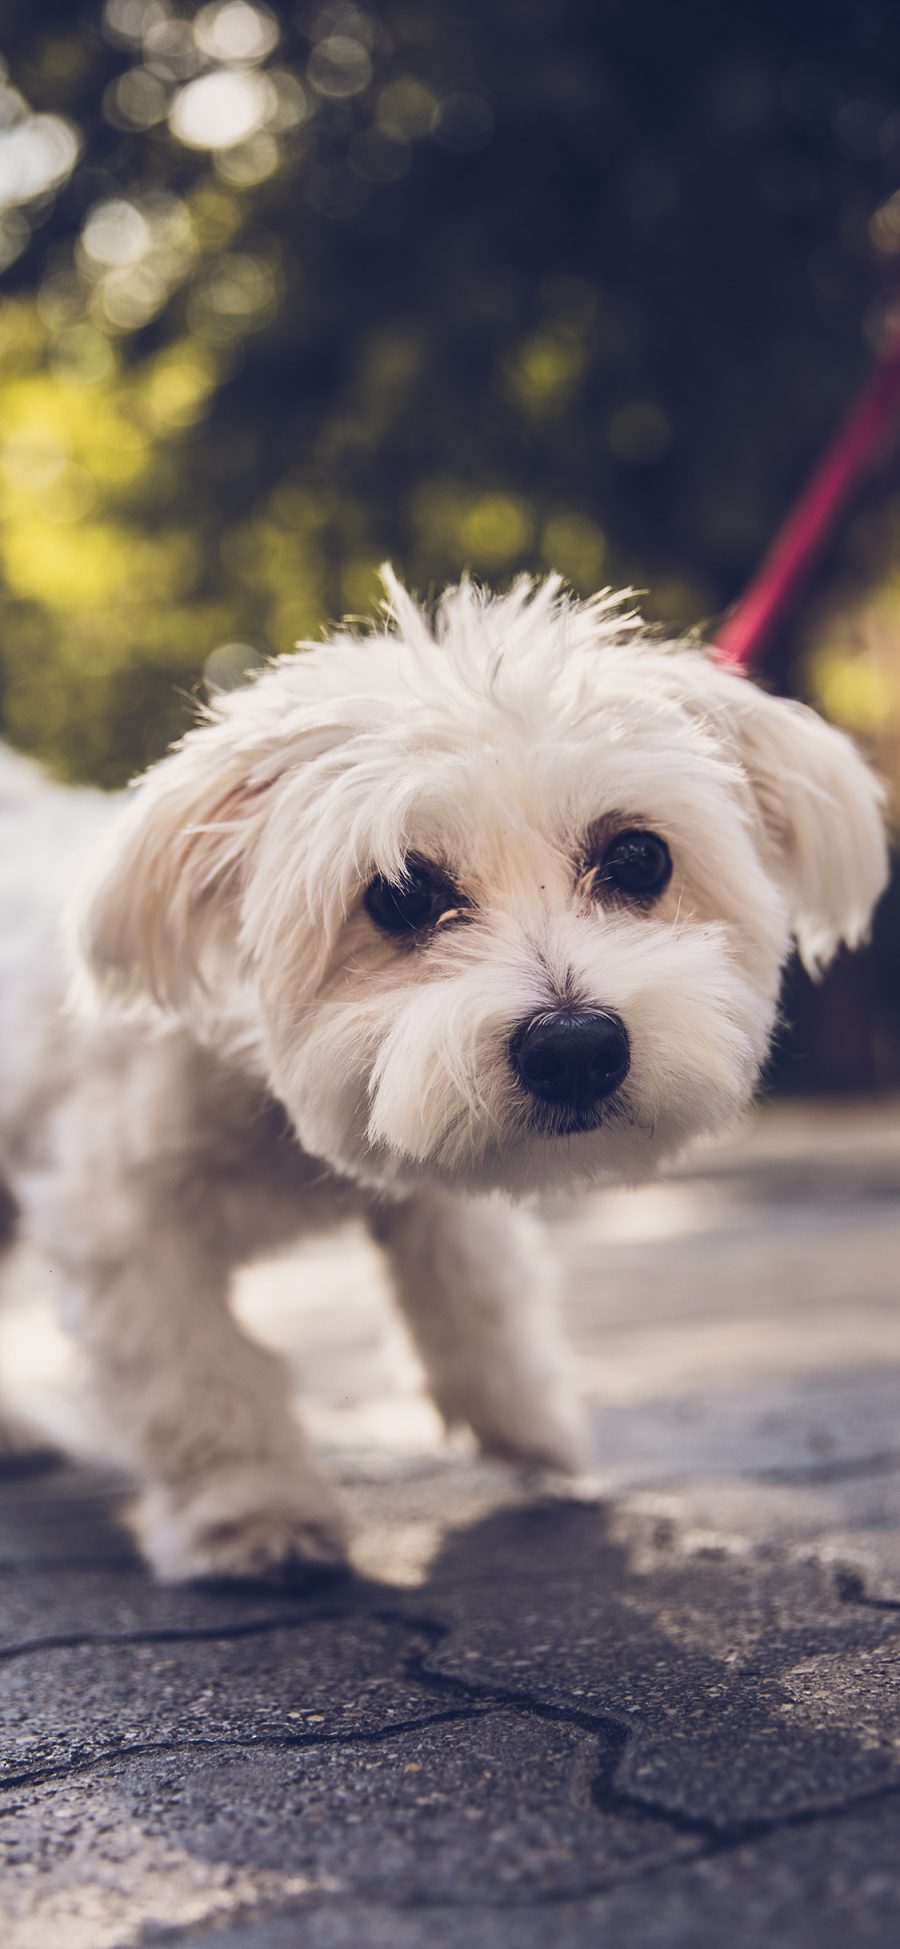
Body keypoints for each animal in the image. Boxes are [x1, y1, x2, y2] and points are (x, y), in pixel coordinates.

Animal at [0, 569, 884, 1574]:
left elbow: (476, 1289)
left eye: (638, 855)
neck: (273, 1103)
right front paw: (252, 1511)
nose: (574, 1045)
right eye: (399, 893)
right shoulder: (119, 1220)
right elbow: (197, 1372)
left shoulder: (432, 1175)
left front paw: (526, 1421)